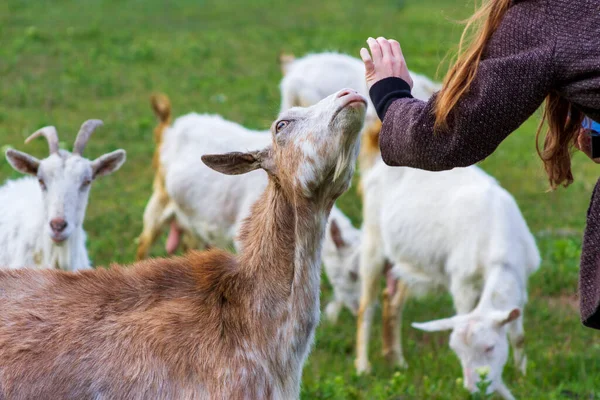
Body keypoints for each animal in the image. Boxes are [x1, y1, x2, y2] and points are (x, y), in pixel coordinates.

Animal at [354, 160, 540, 400]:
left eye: (489, 347)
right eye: (457, 352)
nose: (474, 391)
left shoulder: (521, 285)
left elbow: (518, 337)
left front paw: (522, 375)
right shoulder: (463, 284)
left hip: (406, 262)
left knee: (391, 301)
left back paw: (397, 361)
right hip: (372, 240)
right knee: (366, 307)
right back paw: (362, 367)